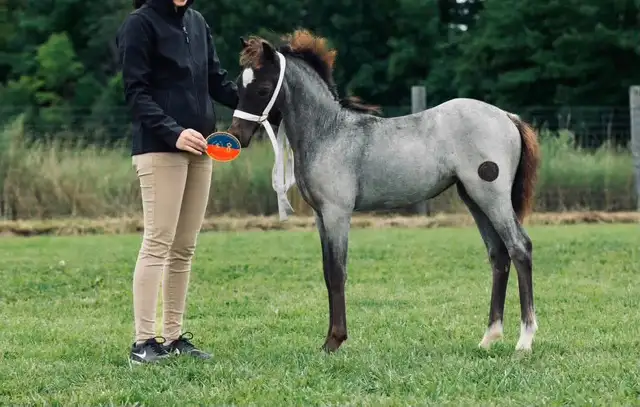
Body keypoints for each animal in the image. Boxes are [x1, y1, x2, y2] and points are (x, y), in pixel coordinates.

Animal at [227, 29, 541, 353]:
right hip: (474, 199)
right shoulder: (320, 216)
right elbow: (327, 271)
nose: (237, 135)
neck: (328, 133)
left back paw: (524, 340)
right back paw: (489, 337)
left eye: (263, 89)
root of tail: (507, 116)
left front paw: (334, 341)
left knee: (520, 247)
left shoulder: (337, 213)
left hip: (492, 197)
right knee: (498, 254)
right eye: (238, 84)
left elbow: (337, 272)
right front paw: (329, 340)